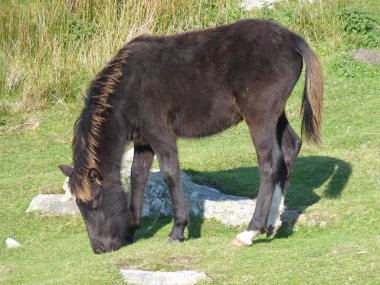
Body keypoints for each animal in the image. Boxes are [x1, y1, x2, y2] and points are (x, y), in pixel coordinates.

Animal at [59, 18, 324, 252]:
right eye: (80, 207)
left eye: (94, 205)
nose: (100, 248)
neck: (127, 87)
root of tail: (290, 38)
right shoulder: (143, 142)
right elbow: (137, 176)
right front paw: (133, 227)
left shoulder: (161, 134)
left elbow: (169, 174)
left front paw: (178, 230)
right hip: (275, 115)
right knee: (291, 147)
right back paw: (273, 220)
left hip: (260, 117)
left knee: (270, 163)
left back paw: (250, 231)